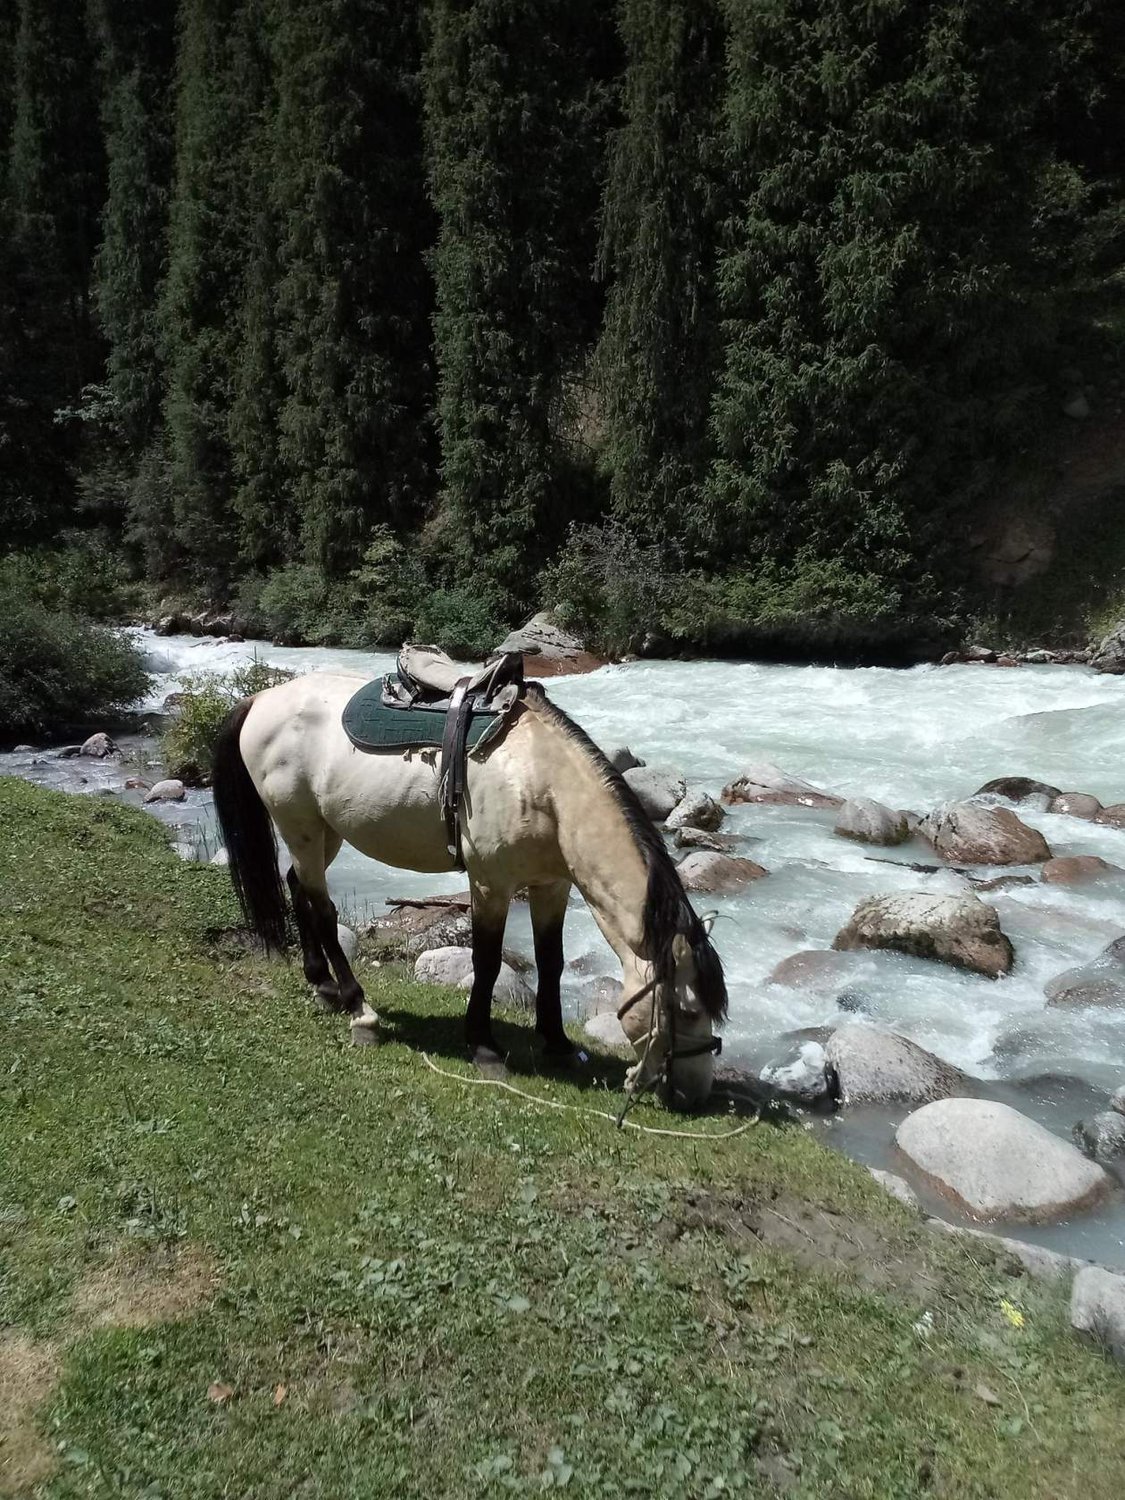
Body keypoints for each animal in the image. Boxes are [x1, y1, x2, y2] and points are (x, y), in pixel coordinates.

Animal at [210, 671, 727, 1109]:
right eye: (686, 1012)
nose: (695, 1095)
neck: (543, 784)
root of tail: (263, 699)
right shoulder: (491, 885)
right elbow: (487, 961)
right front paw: (483, 1047)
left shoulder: (552, 886)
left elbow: (551, 962)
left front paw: (557, 1042)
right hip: (299, 827)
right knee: (321, 907)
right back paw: (360, 1009)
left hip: (323, 832)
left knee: (298, 888)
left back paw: (321, 984)